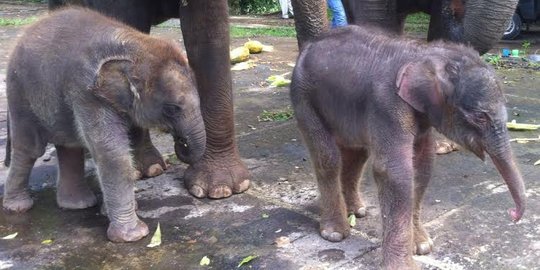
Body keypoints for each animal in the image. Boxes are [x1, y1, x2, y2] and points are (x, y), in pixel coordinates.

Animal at [3, 7, 206, 243]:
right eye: (172, 108)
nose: (180, 143)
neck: (134, 46)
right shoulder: (86, 92)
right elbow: (112, 153)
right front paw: (133, 236)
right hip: (19, 91)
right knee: (30, 148)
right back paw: (18, 207)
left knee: (70, 145)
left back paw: (78, 204)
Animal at [292, 24, 528, 268]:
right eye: (480, 117)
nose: (512, 214)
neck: (424, 54)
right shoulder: (387, 105)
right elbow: (394, 172)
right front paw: (404, 264)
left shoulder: (424, 115)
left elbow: (422, 167)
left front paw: (422, 246)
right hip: (304, 97)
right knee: (328, 156)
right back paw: (335, 233)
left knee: (357, 154)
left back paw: (357, 211)